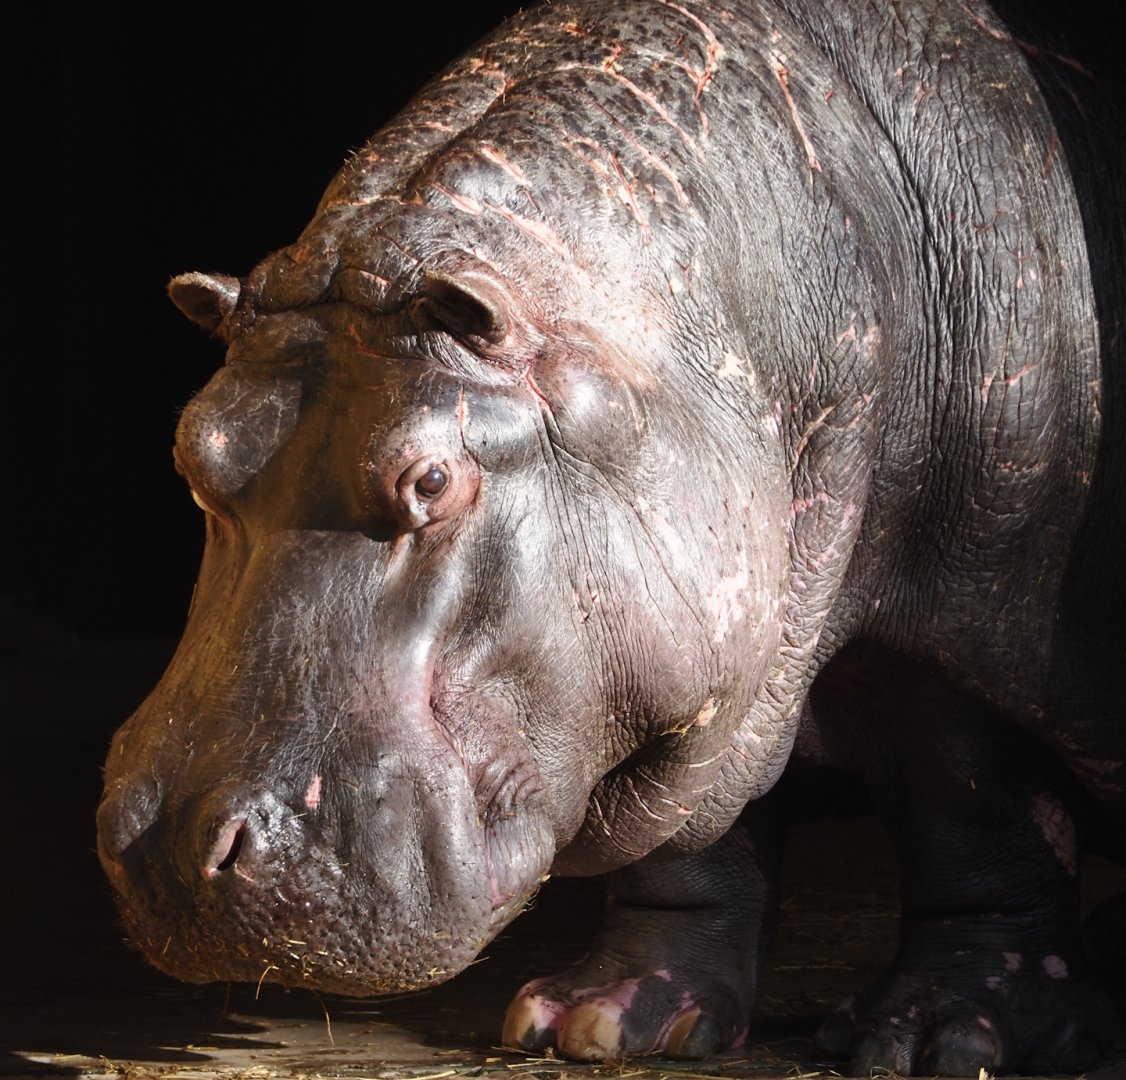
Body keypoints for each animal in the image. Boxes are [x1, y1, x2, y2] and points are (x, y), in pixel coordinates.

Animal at [97, 0, 1125, 1074]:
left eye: (431, 478)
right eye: (193, 450)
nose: (172, 848)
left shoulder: (968, 600)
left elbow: (976, 807)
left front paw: (938, 1034)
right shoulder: (712, 647)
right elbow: (688, 844)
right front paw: (599, 1018)